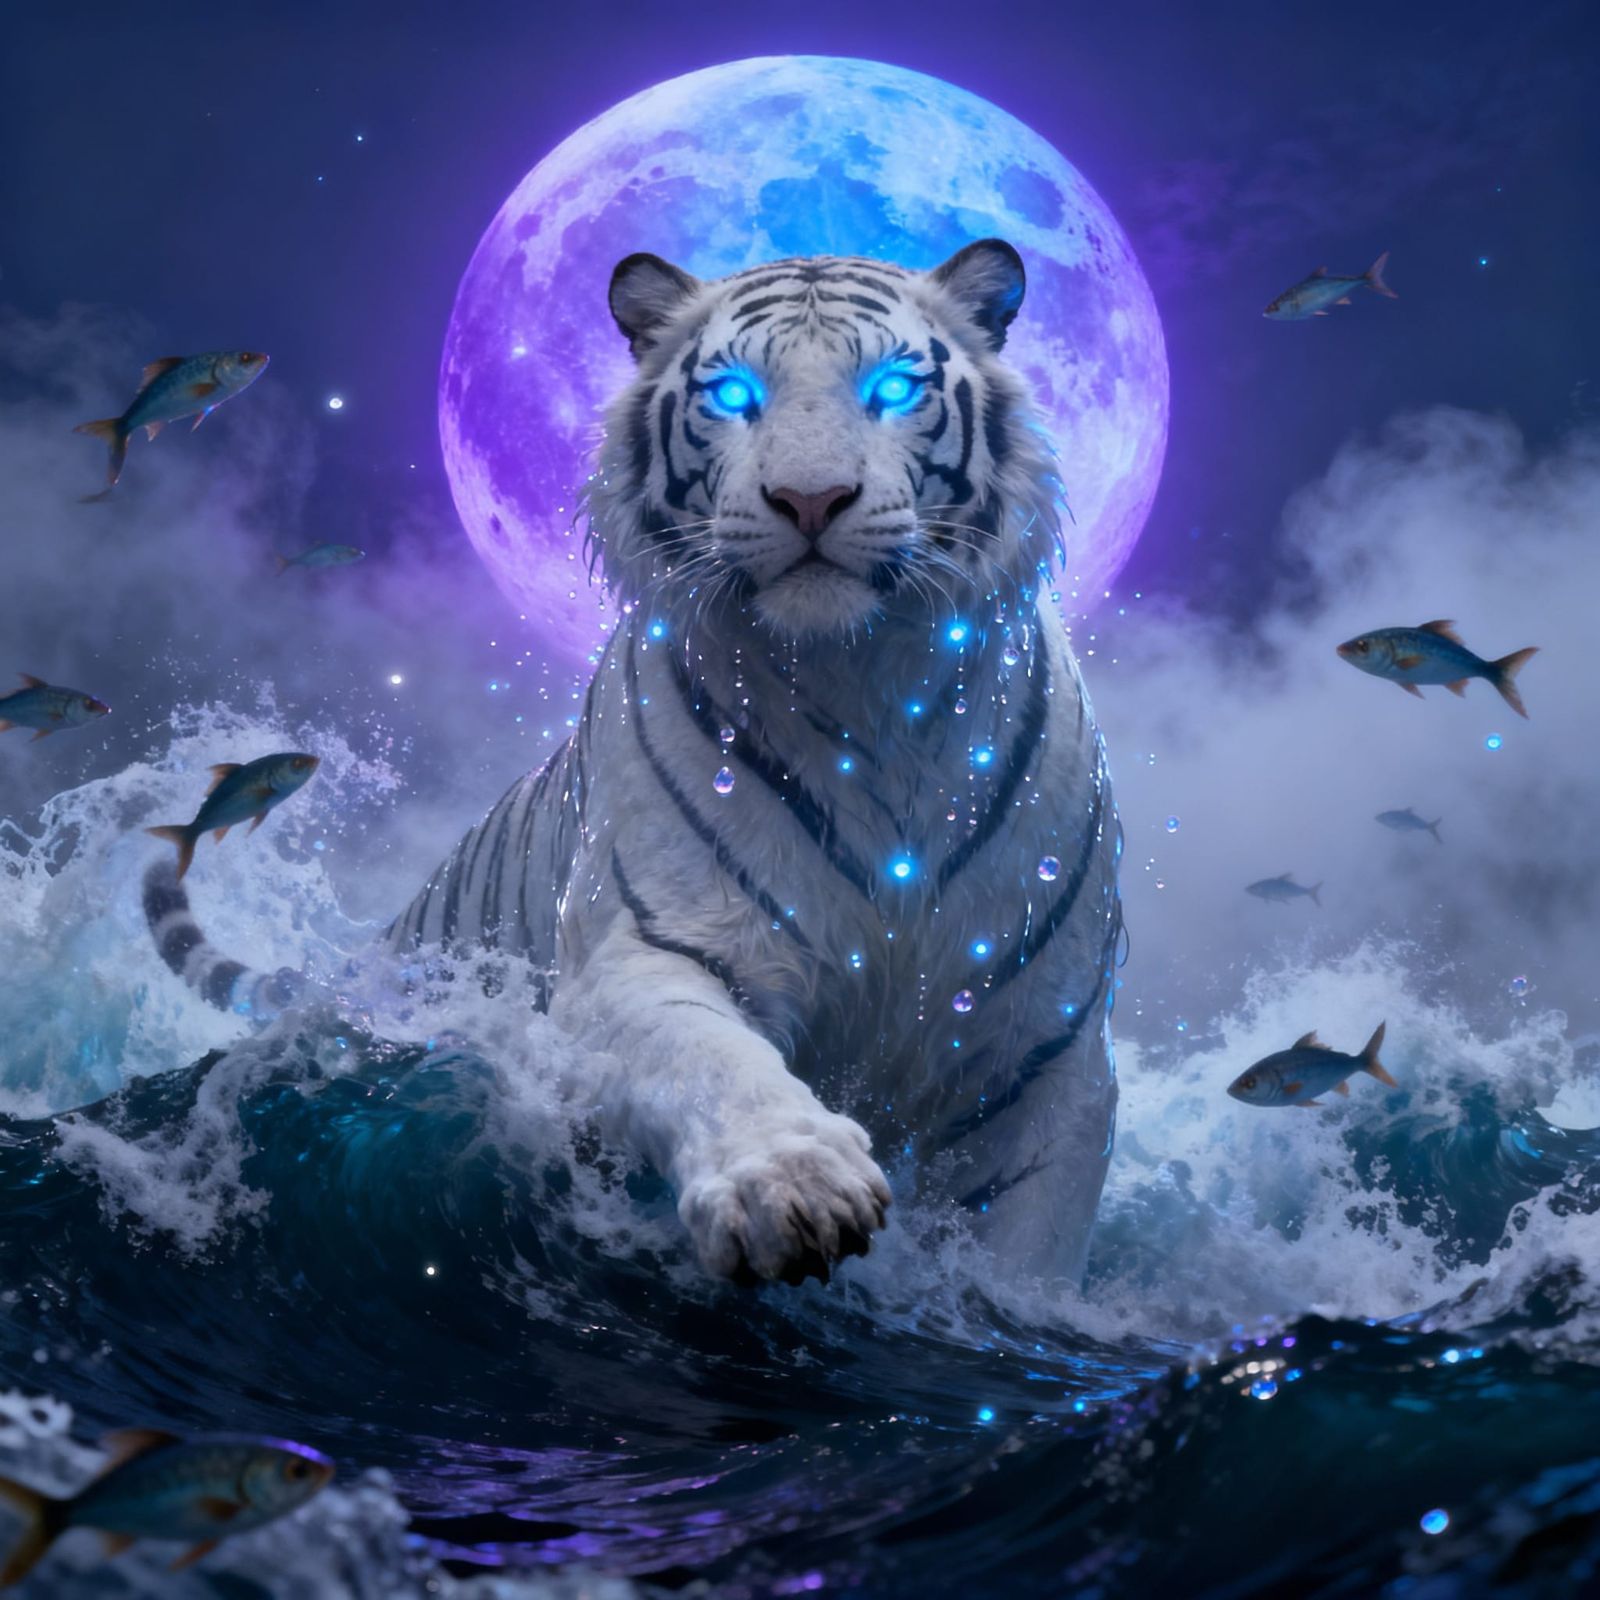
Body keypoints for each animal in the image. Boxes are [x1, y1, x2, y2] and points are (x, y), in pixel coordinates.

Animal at [145, 239, 1123, 1289]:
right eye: (734, 394)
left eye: (893, 387)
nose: (811, 499)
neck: (866, 679)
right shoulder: (652, 946)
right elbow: (708, 1059)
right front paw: (790, 1186)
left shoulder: (1049, 1050)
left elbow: (1029, 1249)